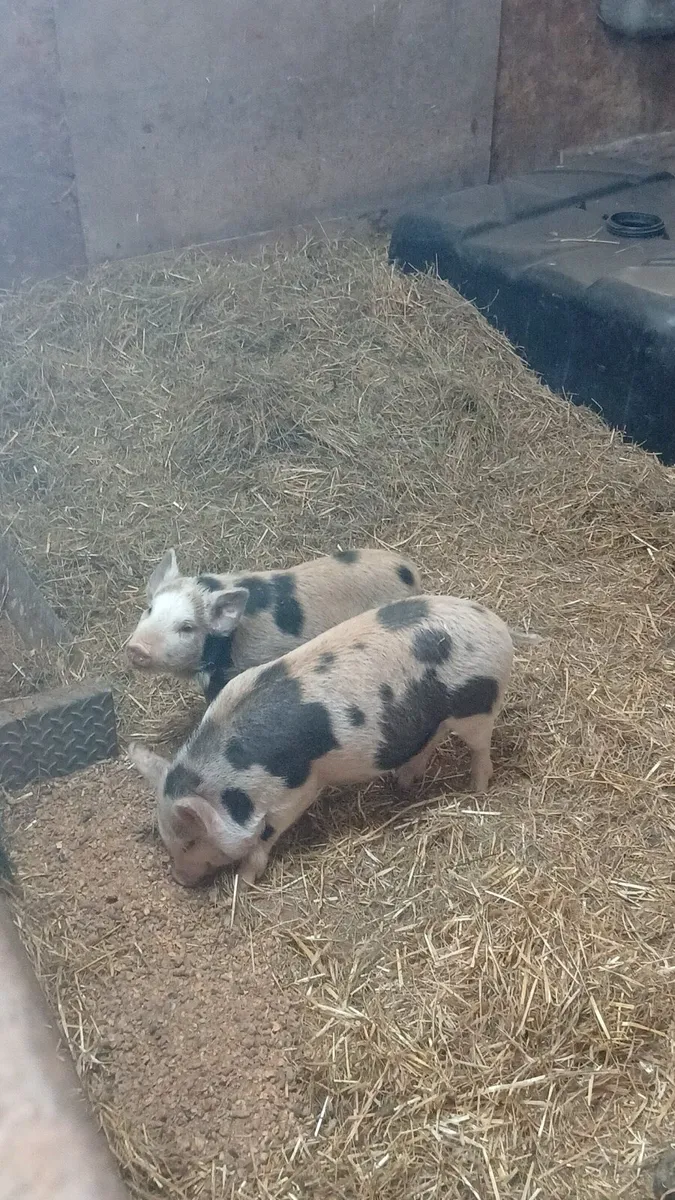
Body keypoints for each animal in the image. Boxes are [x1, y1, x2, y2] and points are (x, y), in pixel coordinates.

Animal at [128, 595, 539, 888]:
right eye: (167, 837)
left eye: (191, 841)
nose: (180, 880)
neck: (233, 773)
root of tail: (495, 622)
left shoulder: (294, 792)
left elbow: (265, 836)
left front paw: (244, 881)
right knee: (430, 740)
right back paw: (403, 784)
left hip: (476, 705)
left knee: (481, 748)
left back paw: (476, 789)